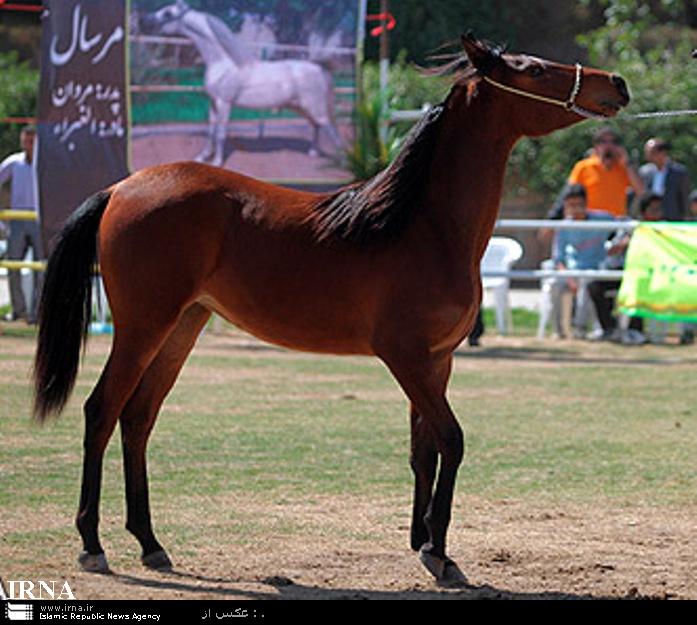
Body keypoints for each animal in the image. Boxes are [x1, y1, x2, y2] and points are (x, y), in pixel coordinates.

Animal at [34, 34, 632, 584]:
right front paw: (441, 555)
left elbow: (424, 449)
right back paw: (93, 545)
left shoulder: (437, 362)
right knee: (101, 411)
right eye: (534, 70)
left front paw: (423, 543)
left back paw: (151, 544)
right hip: (142, 326)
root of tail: (121, 187)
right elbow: (452, 441)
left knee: (138, 419)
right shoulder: (406, 358)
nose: (618, 84)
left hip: (182, 326)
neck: (422, 227)